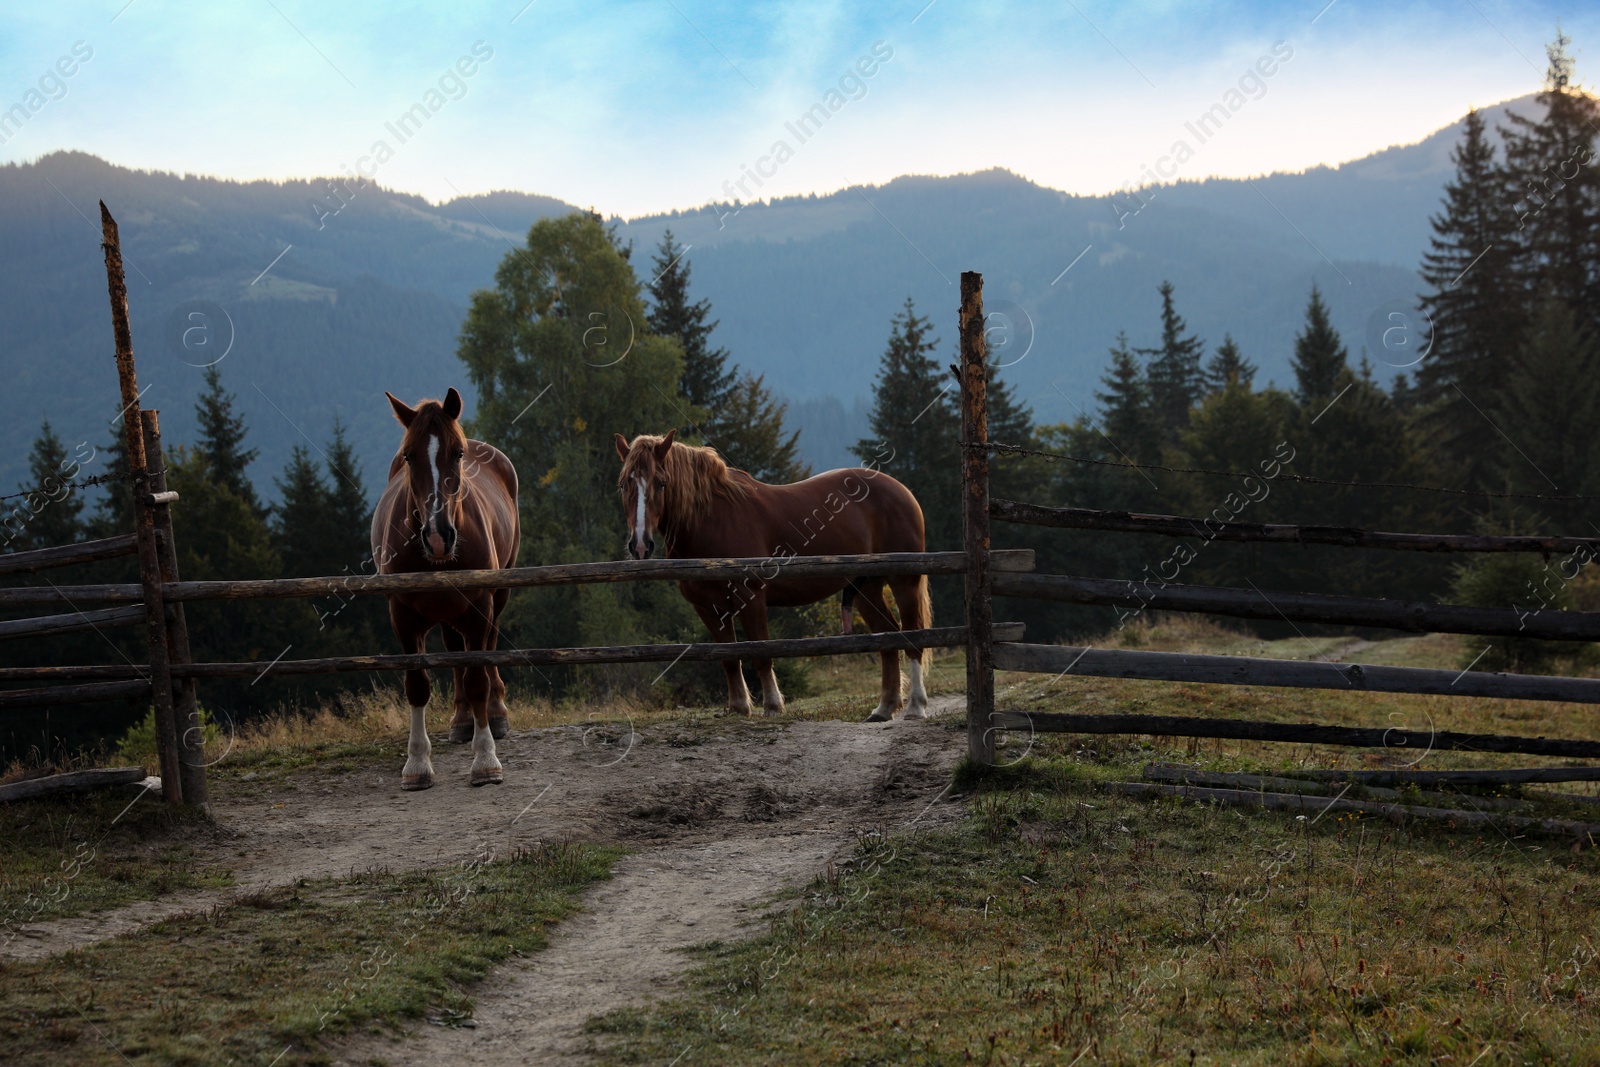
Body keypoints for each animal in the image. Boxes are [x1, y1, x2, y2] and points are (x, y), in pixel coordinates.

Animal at [368, 388, 518, 790]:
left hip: (498, 594)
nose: (438, 537)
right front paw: (417, 764)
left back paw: (495, 714)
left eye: (457, 453)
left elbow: (478, 678)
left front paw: (485, 760)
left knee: (488, 648)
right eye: (409, 455)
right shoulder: (402, 615)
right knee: (455, 653)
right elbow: (418, 685)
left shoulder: (480, 606)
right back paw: (462, 720)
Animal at [614, 428, 934, 723]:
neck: (712, 519)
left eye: (660, 483)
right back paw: (884, 708)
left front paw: (772, 705)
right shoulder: (707, 607)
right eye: (624, 483)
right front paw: (739, 707)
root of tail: (901, 490)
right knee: (888, 636)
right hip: (866, 588)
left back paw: (915, 706)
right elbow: (728, 657)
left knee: (913, 636)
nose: (640, 545)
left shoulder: (751, 597)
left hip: (903, 582)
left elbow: (761, 652)